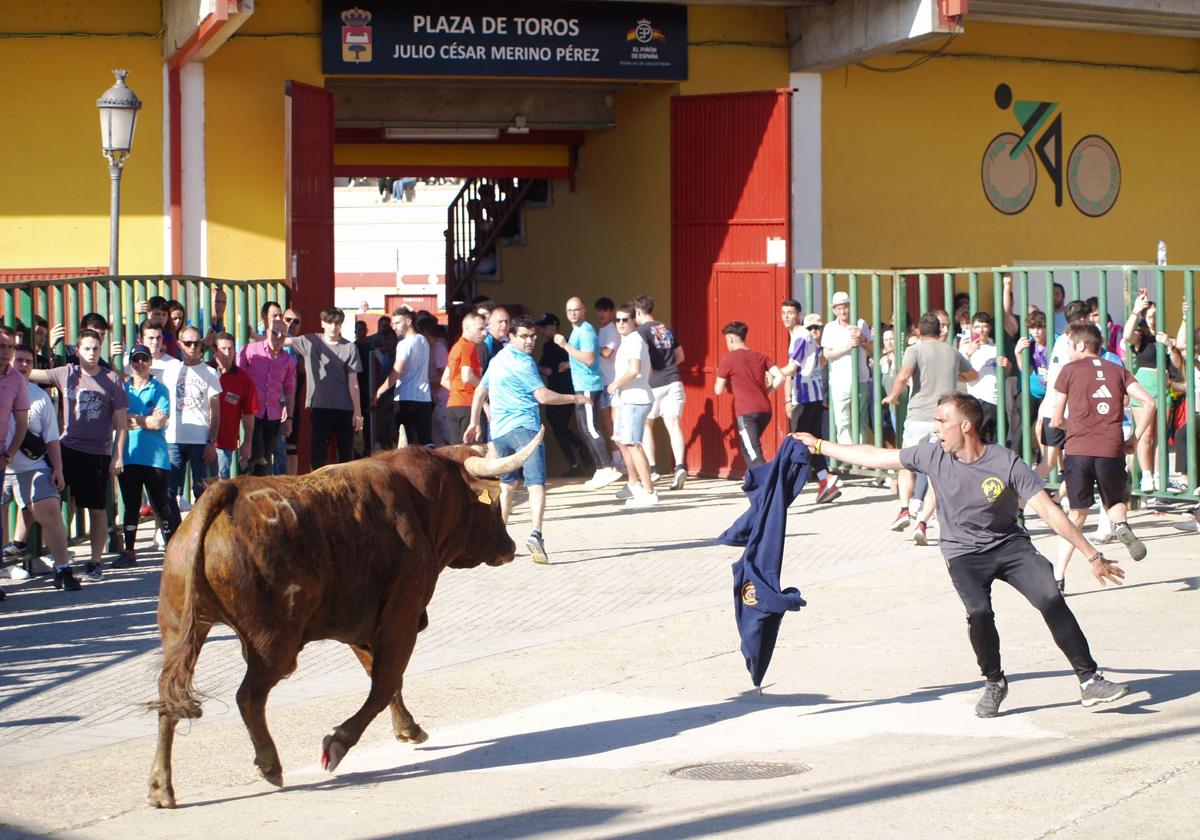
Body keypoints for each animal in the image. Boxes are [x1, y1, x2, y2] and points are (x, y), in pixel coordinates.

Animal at [148, 429, 544, 811]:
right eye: (492, 502)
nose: (509, 547)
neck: (421, 503)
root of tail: (228, 490)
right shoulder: (401, 616)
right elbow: (384, 684)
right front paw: (339, 742)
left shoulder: (364, 626)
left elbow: (386, 681)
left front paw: (408, 728)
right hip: (274, 643)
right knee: (250, 696)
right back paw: (270, 763)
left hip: (183, 630)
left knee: (170, 694)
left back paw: (161, 786)